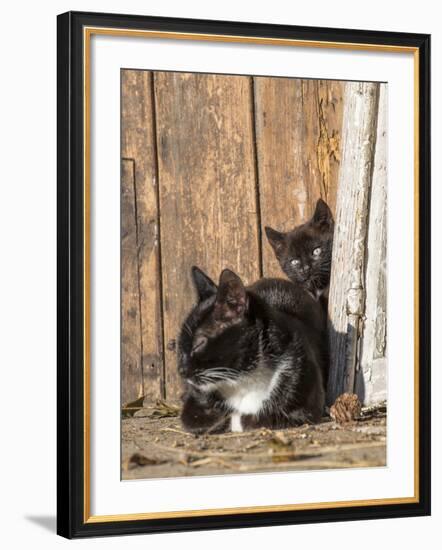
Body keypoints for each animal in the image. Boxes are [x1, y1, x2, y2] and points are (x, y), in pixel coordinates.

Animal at [178, 268, 326, 436]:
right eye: (180, 344)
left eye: (199, 343)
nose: (181, 370)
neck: (244, 379)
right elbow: (197, 419)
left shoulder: (303, 397)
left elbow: (256, 419)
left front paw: (239, 419)